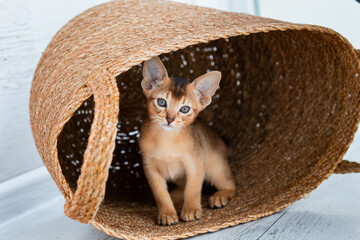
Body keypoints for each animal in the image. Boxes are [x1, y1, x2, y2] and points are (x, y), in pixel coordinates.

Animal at [139, 56, 236, 225]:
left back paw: (219, 196)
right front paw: (167, 214)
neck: (167, 139)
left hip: (215, 167)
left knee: (231, 184)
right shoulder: (150, 167)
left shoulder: (195, 163)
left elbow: (193, 189)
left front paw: (191, 210)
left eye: (185, 109)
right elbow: (160, 193)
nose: (170, 119)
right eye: (162, 102)